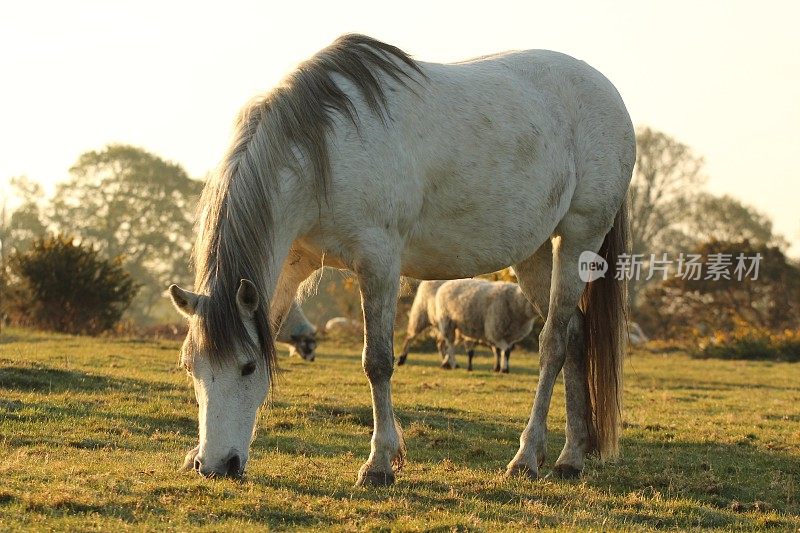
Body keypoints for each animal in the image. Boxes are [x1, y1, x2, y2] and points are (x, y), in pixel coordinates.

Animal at [167, 33, 632, 482]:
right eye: (191, 367)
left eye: (247, 367)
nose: (215, 465)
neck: (324, 147)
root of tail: (609, 94)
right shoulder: (290, 267)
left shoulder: (379, 264)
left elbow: (377, 362)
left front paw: (379, 463)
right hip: (533, 254)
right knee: (575, 335)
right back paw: (572, 456)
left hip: (578, 237)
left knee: (553, 343)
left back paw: (528, 457)